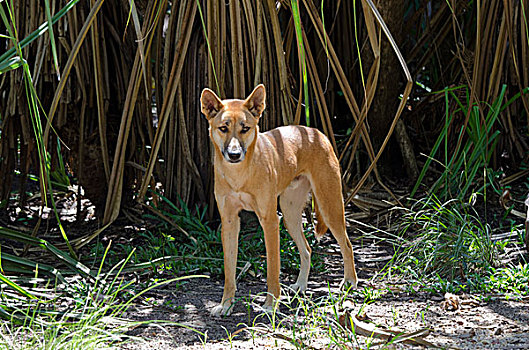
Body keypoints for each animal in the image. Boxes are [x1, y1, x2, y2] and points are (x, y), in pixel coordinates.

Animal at [200, 85, 356, 318]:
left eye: (245, 128)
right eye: (223, 128)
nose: (234, 155)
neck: (240, 174)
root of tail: (315, 132)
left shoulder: (270, 222)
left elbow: (273, 269)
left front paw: (270, 304)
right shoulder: (229, 223)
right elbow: (229, 271)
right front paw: (226, 304)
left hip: (330, 208)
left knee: (347, 245)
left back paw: (350, 282)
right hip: (291, 216)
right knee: (307, 250)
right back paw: (301, 286)